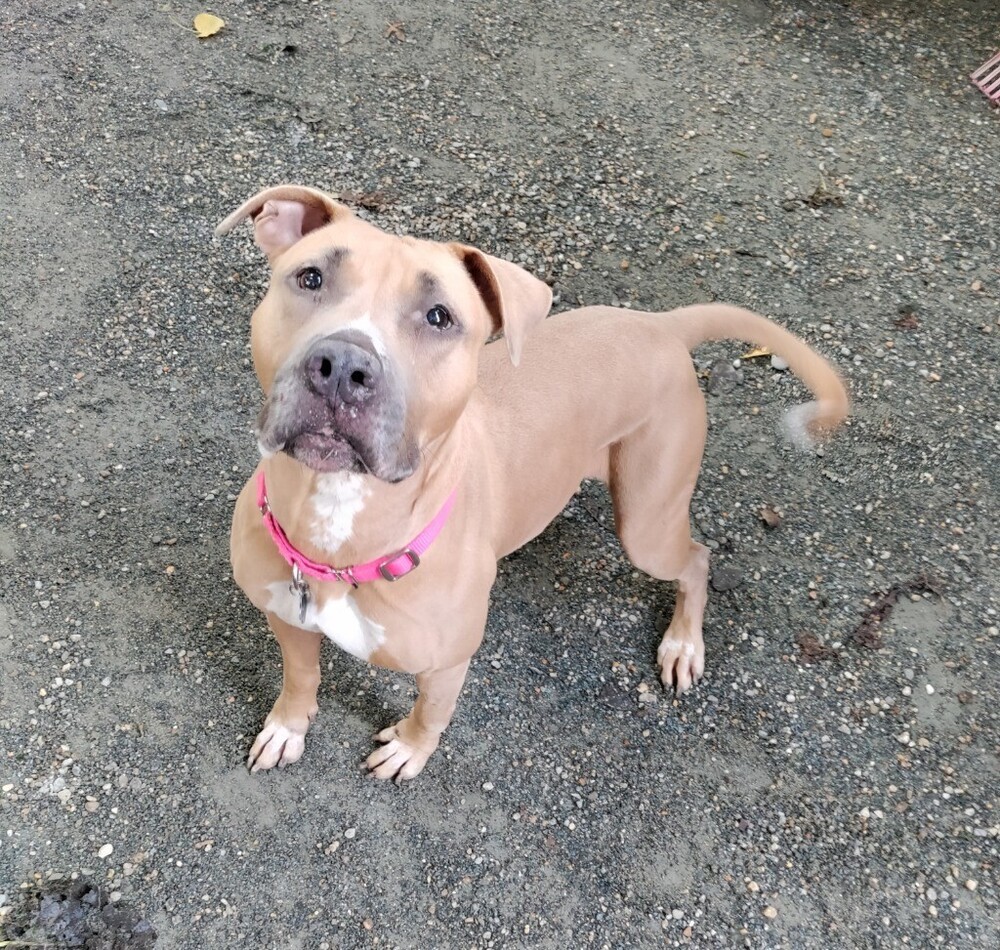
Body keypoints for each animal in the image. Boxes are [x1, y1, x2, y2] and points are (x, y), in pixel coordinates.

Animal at [215, 184, 848, 780]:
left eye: (440, 316)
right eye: (311, 277)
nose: (343, 366)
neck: (333, 531)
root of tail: (660, 324)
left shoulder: (447, 663)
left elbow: (430, 713)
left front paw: (409, 750)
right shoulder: (284, 617)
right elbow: (301, 675)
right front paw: (288, 726)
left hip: (647, 520)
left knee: (695, 559)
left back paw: (683, 643)